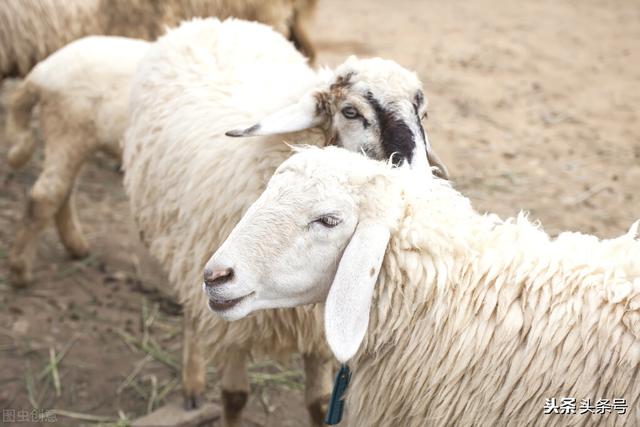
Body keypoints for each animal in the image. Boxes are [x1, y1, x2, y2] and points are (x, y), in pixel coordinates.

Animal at [122, 17, 448, 427]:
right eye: (350, 112)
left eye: (423, 114)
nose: (419, 180)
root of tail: (210, 21)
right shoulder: (233, 314)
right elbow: (234, 396)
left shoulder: (317, 332)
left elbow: (318, 402)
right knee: (192, 312)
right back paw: (192, 383)